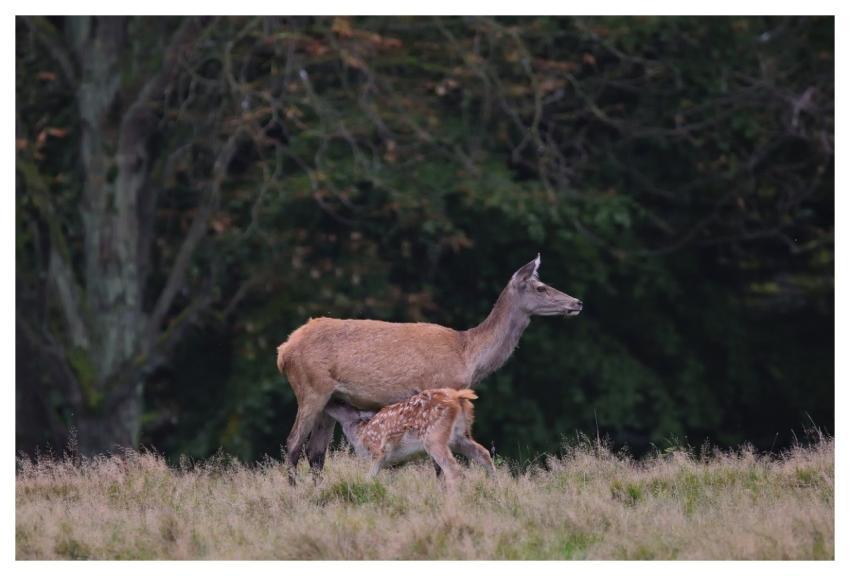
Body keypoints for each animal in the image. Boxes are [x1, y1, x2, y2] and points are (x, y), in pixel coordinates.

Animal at [323, 388, 494, 490]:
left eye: (341, 401)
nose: (328, 401)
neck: (359, 434)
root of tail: (457, 397)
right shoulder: (395, 465)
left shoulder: (378, 451)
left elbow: (369, 476)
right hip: (460, 437)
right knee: (484, 453)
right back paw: (495, 487)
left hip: (433, 436)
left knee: (453, 469)